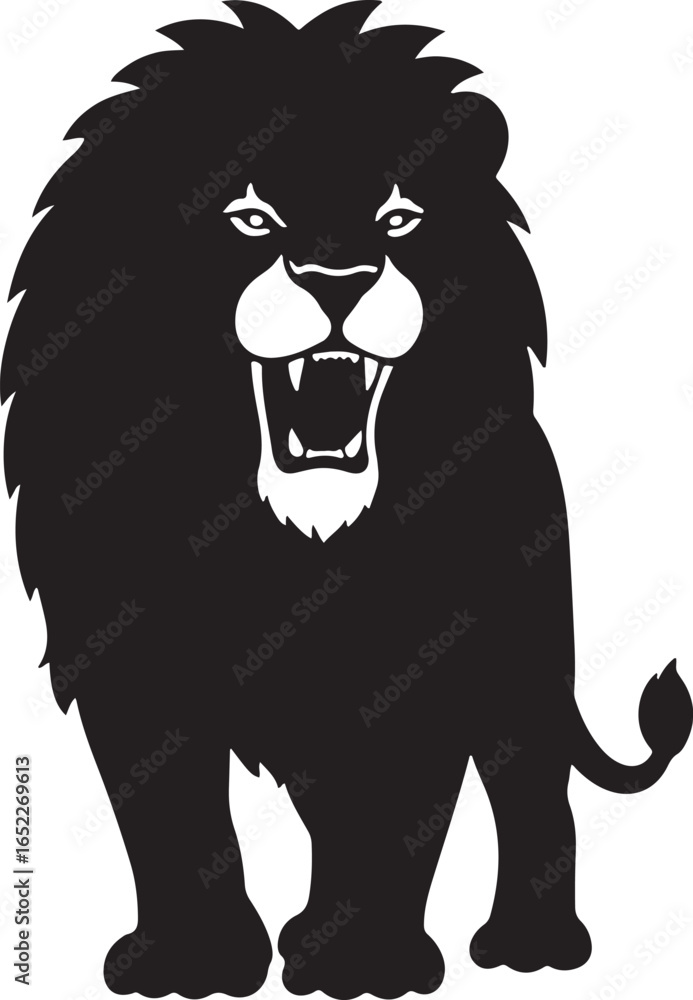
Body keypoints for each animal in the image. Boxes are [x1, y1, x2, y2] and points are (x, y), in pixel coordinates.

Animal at [2, 2, 691, 997]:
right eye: (247, 215)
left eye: (398, 216)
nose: (339, 278)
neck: (282, 534)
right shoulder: (133, 655)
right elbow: (171, 813)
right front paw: (193, 963)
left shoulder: (422, 655)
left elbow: (399, 811)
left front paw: (362, 965)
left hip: (523, 643)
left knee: (529, 780)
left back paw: (533, 946)